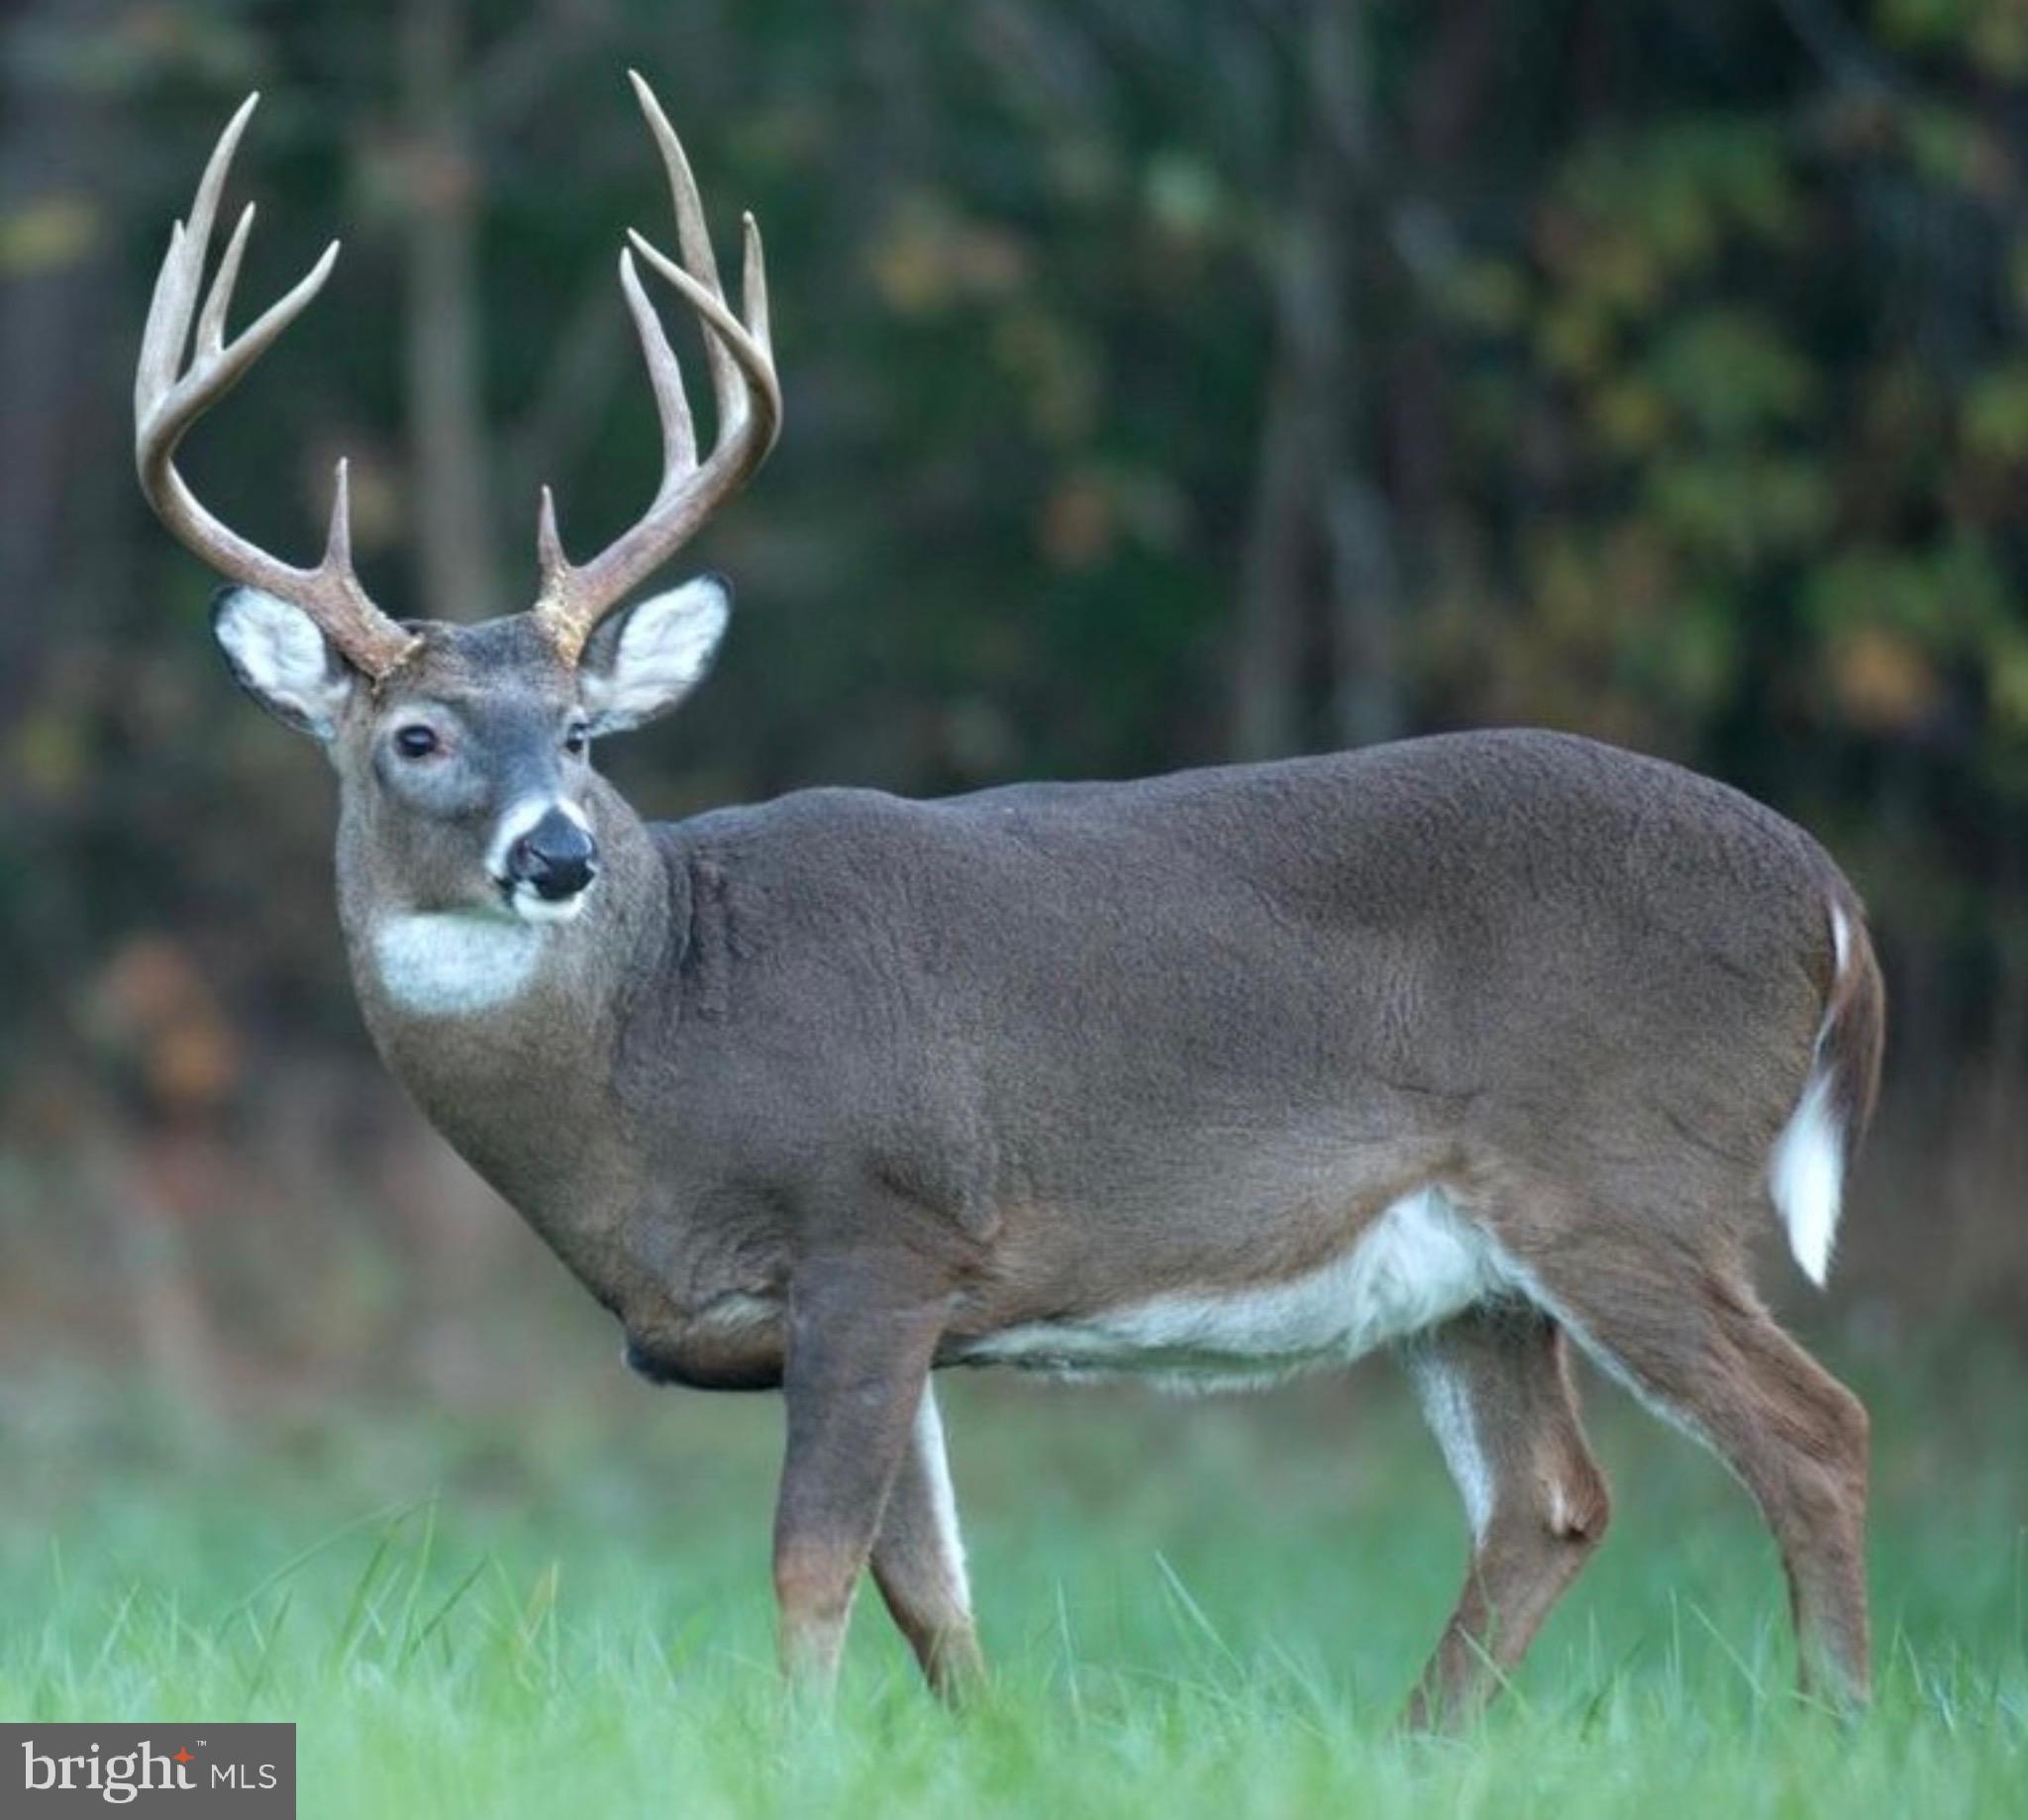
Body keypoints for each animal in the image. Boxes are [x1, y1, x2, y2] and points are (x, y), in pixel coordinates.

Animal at [137, 77, 1885, 1726]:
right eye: (418, 737)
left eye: (579, 733)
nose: (558, 854)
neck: (657, 1041)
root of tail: (1830, 896)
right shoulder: (871, 1304)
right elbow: (931, 1590)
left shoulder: (879, 1225)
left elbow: (816, 1563)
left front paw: (797, 1752)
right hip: (1475, 1268)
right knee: (1550, 1503)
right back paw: (1426, 1745)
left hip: (1623, 1169)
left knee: (1816, 1430)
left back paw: (1827, 1727)